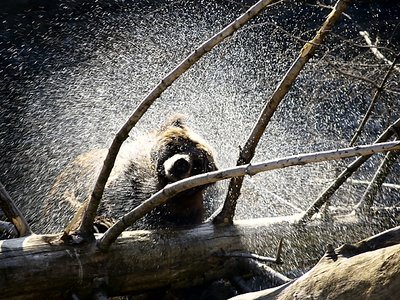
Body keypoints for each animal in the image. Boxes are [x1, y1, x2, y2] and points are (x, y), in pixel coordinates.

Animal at [41, 113, 217, 233]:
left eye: (198, 165)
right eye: (179, 145)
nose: (181, 164)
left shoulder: (185, 212)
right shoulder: (123, 181)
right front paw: (99, 224)